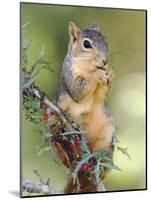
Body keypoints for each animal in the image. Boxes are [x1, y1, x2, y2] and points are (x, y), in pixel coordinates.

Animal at [55, 21, 114, 192]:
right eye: (86, 44)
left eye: (105, 40)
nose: (105, 61)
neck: (88, 67)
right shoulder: (69, 76)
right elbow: (79, 91)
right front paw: (98, 74)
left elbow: (100, 95)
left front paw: (110, 71)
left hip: (106, 135)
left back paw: (99, 168)